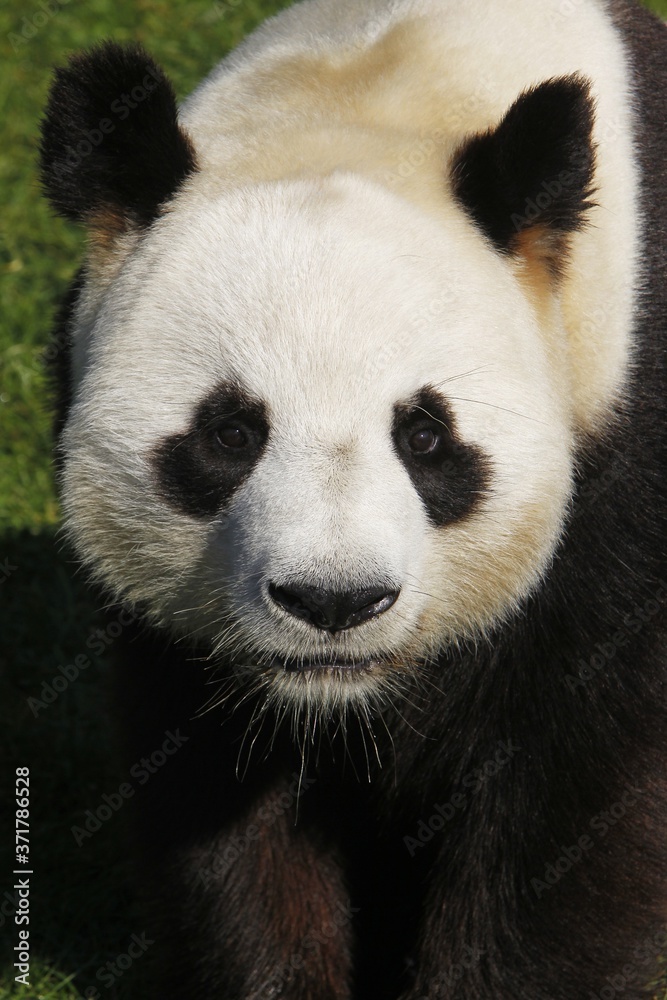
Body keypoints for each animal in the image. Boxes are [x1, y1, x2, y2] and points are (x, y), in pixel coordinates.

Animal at [39, 0, 664, 996]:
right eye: (230, 434)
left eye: (425, 436)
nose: (333, 602)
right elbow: (220, 804)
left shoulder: (621, 462)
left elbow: (570, 801)